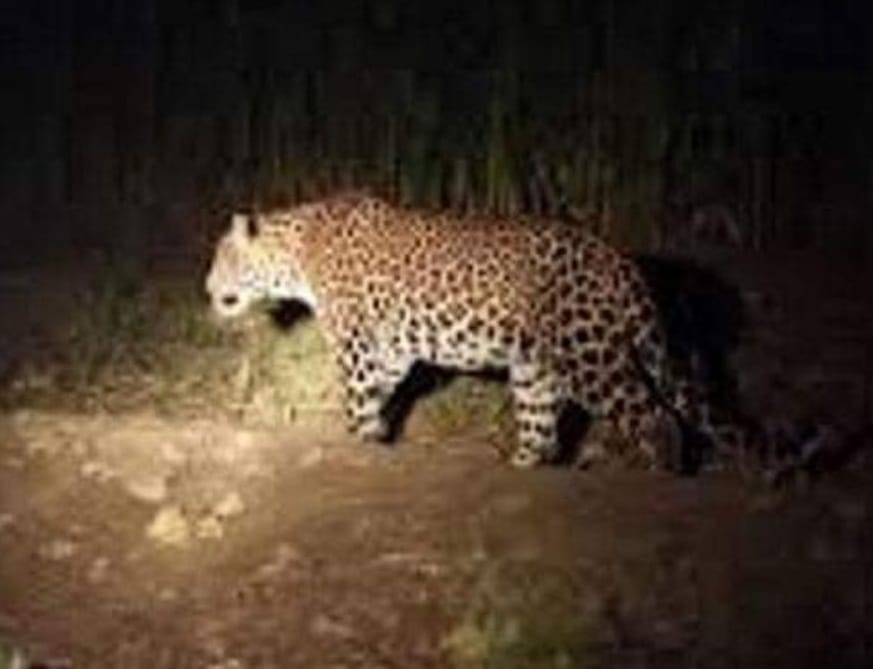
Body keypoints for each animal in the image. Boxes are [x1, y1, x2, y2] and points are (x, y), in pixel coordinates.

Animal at [205, 192, 731, 470]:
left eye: (222, 258)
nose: (206, 288)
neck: (296, 257)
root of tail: (620, 261)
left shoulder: (357, 352)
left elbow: (355, 402)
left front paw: (356, 448)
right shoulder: (389, 354)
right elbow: (376, 401)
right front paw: (375, 441)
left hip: (589, 353)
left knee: (656, 420)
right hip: (536, 370)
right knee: (543, 433)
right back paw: (522, 469)